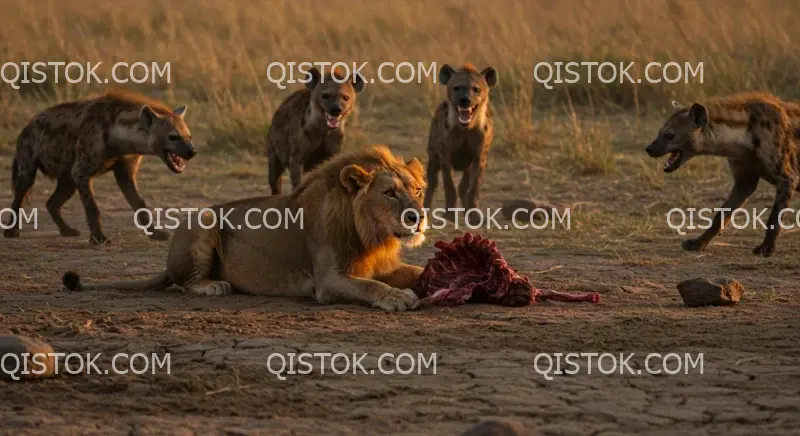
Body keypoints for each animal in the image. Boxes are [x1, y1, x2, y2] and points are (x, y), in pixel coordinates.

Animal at [62, 145, 428, 312]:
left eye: (418, 190)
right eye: (390, 193)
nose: (418, 217)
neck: (374, 236)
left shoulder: (386, 266)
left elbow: (416, 272)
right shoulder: (328, 282)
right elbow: (368, 286)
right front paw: (396, 297)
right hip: (203, 221)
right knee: (186, 284)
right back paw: (214, 286)